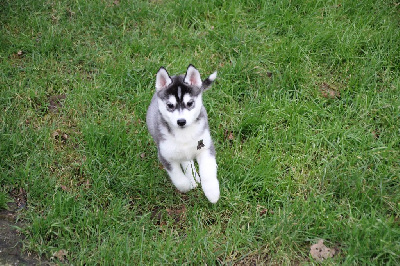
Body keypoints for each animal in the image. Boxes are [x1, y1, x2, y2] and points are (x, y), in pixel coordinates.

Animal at [147, 64, 220, 204]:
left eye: (190, 103)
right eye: (170, 105)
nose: (181, 121)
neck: (184, 134)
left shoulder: (205, 147)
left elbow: (208, 171)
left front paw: (212, 192)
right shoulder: (165, 155)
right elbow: (179, 180)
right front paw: (188, 185)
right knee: (185, 161)